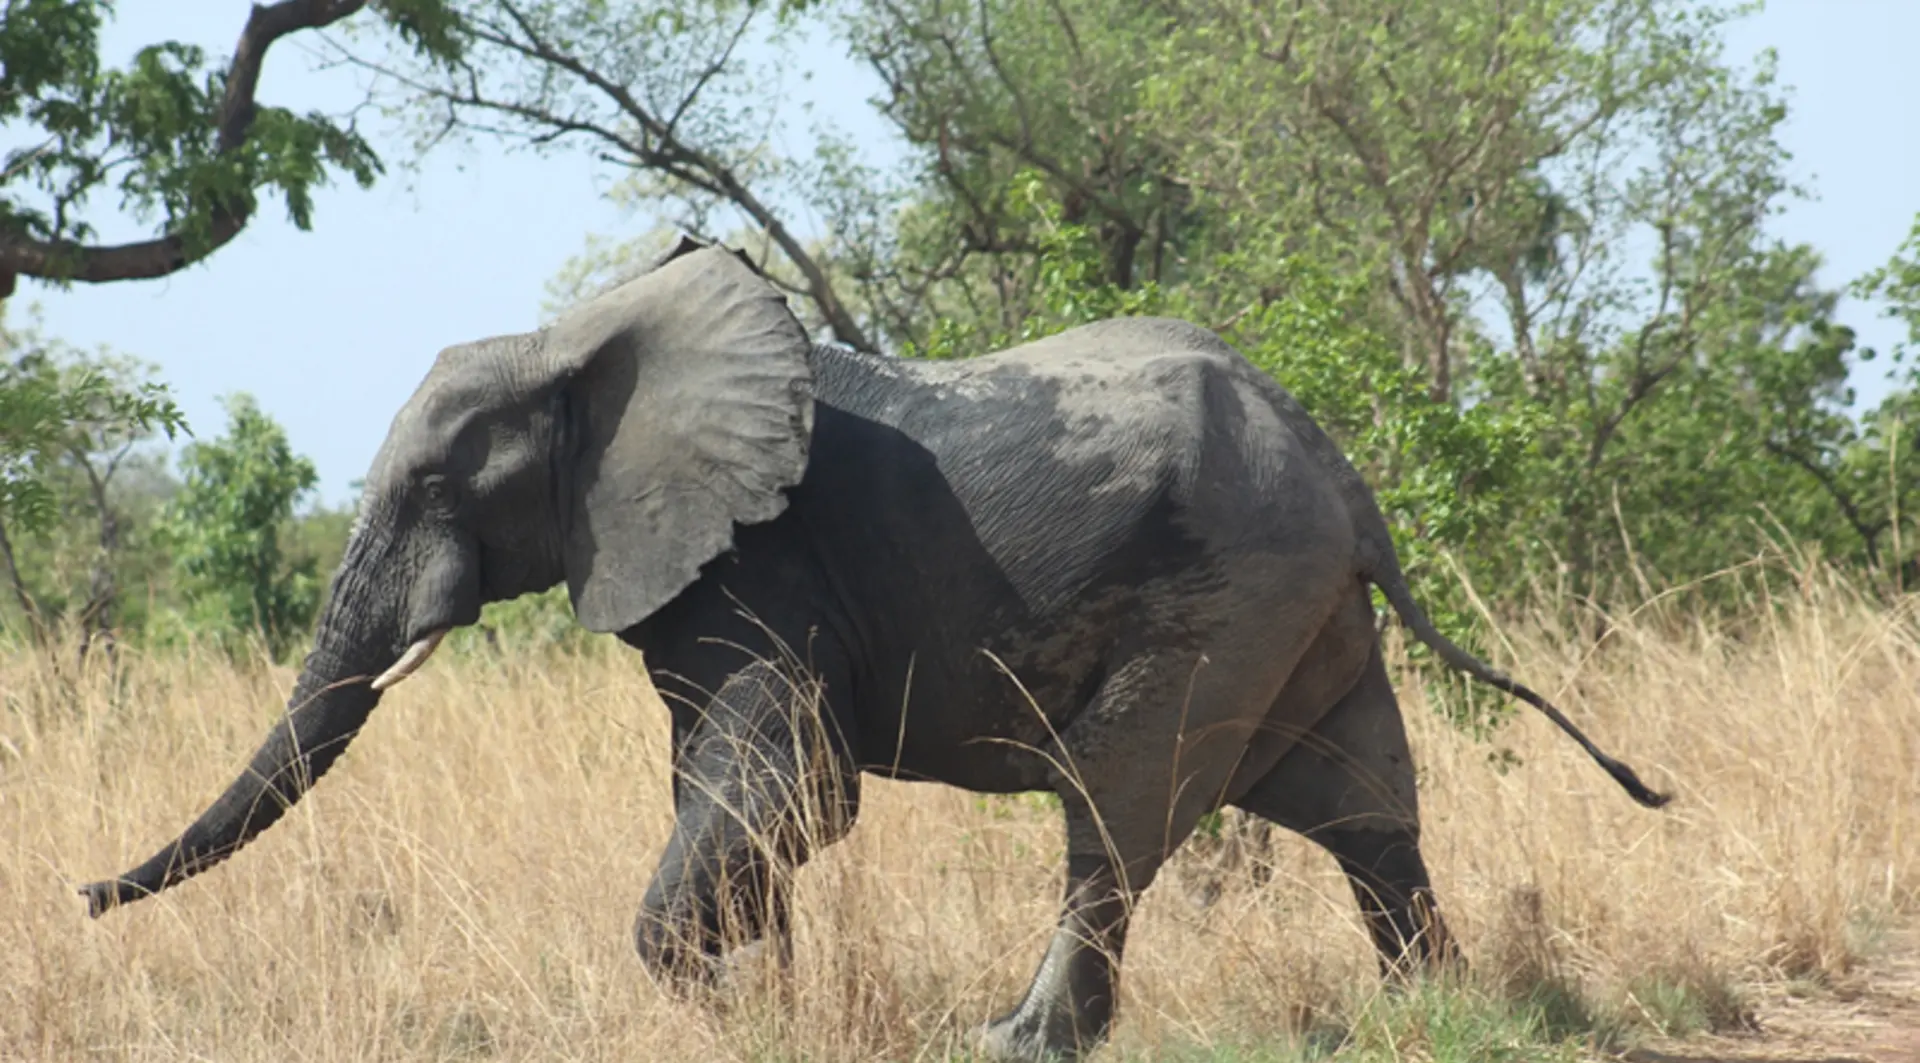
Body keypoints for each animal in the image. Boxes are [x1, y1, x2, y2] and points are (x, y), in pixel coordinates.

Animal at [80, 238, 1667, 1062]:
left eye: (429, 486)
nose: (78, 895)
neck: (580, 338)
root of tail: (1351, 482)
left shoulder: (763, 556)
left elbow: (792, 778)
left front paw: (727, 995)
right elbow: (733, 791)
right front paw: (768, 989)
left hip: (1233, 591)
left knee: (1116, 804)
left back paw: (1017, 1039)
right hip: (1306, 612)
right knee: (1363, 806)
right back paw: (1437, 1009)